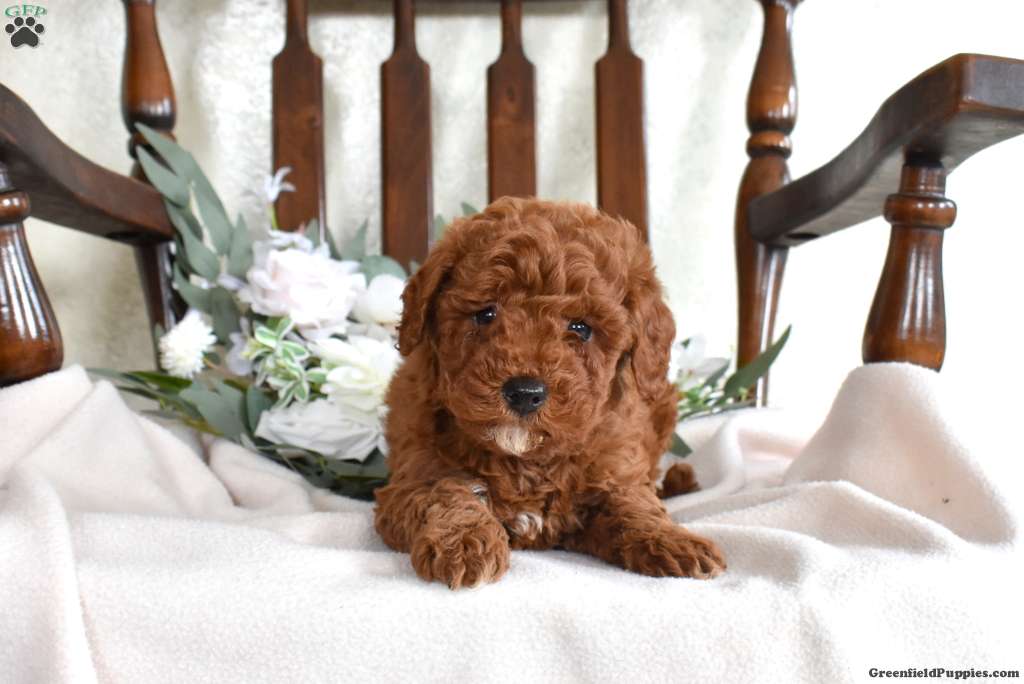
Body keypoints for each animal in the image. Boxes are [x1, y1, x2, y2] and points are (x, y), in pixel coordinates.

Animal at [374, 197, 726, 589]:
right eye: (486, 314)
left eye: (581, 328)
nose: (525, 392)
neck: (526, 460)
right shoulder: (411, 478)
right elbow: (444, 493)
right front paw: (465, 542)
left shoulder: (614, 472)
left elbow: (634, 505)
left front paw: (673, 541)